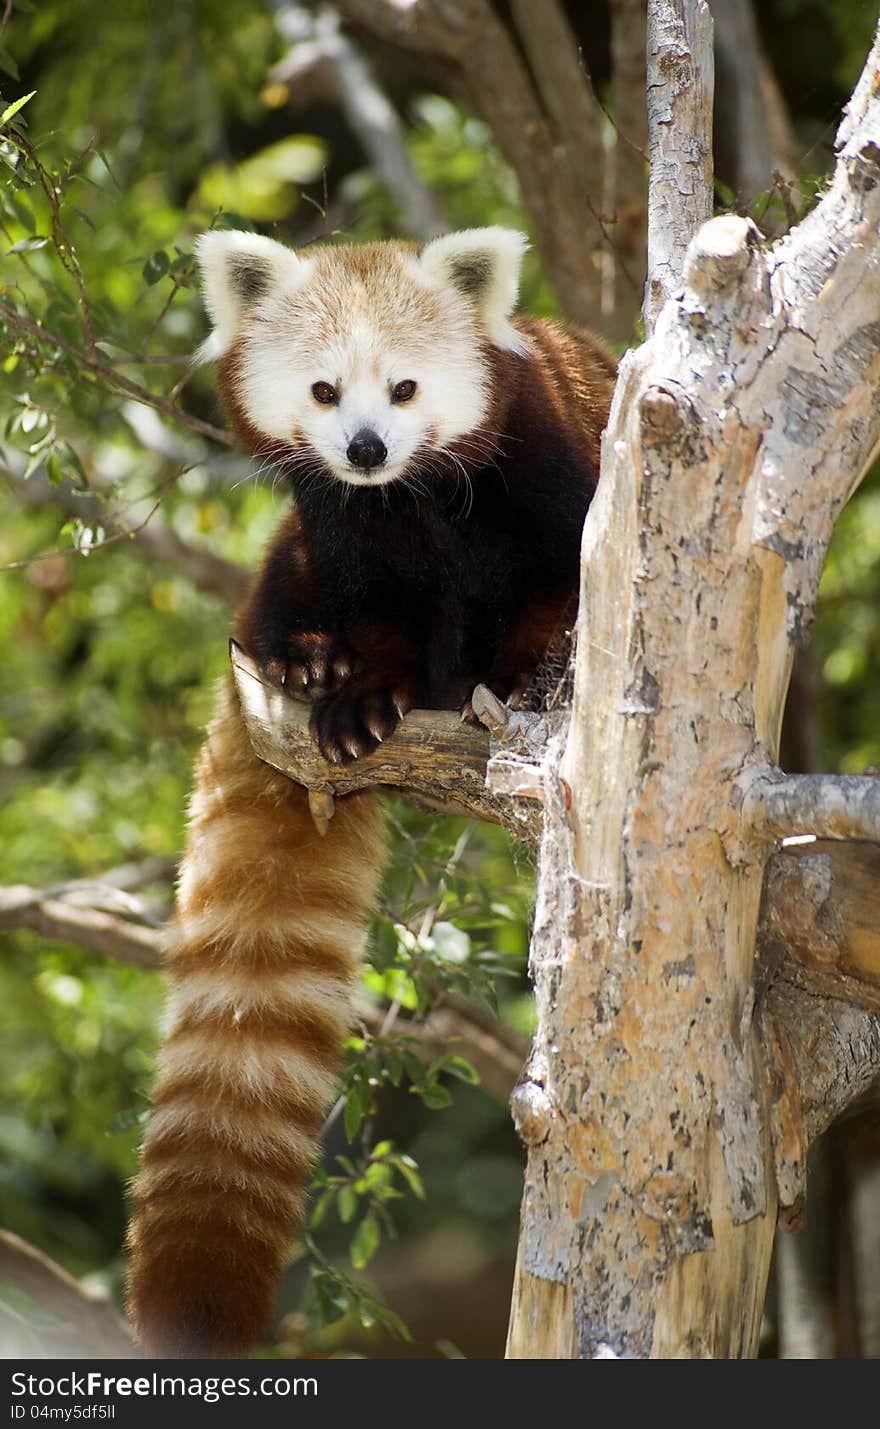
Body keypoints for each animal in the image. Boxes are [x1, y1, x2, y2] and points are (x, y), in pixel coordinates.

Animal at [125, 222, 620, 1348]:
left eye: (402, 387)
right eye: (323, 390)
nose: (362, 450)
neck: (414, 502)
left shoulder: (547, 479)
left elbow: (557, 594)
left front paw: (524, 679)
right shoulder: (348, 536)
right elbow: (377, 612)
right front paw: (356, 693)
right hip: (282, 575)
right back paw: (309, 664)